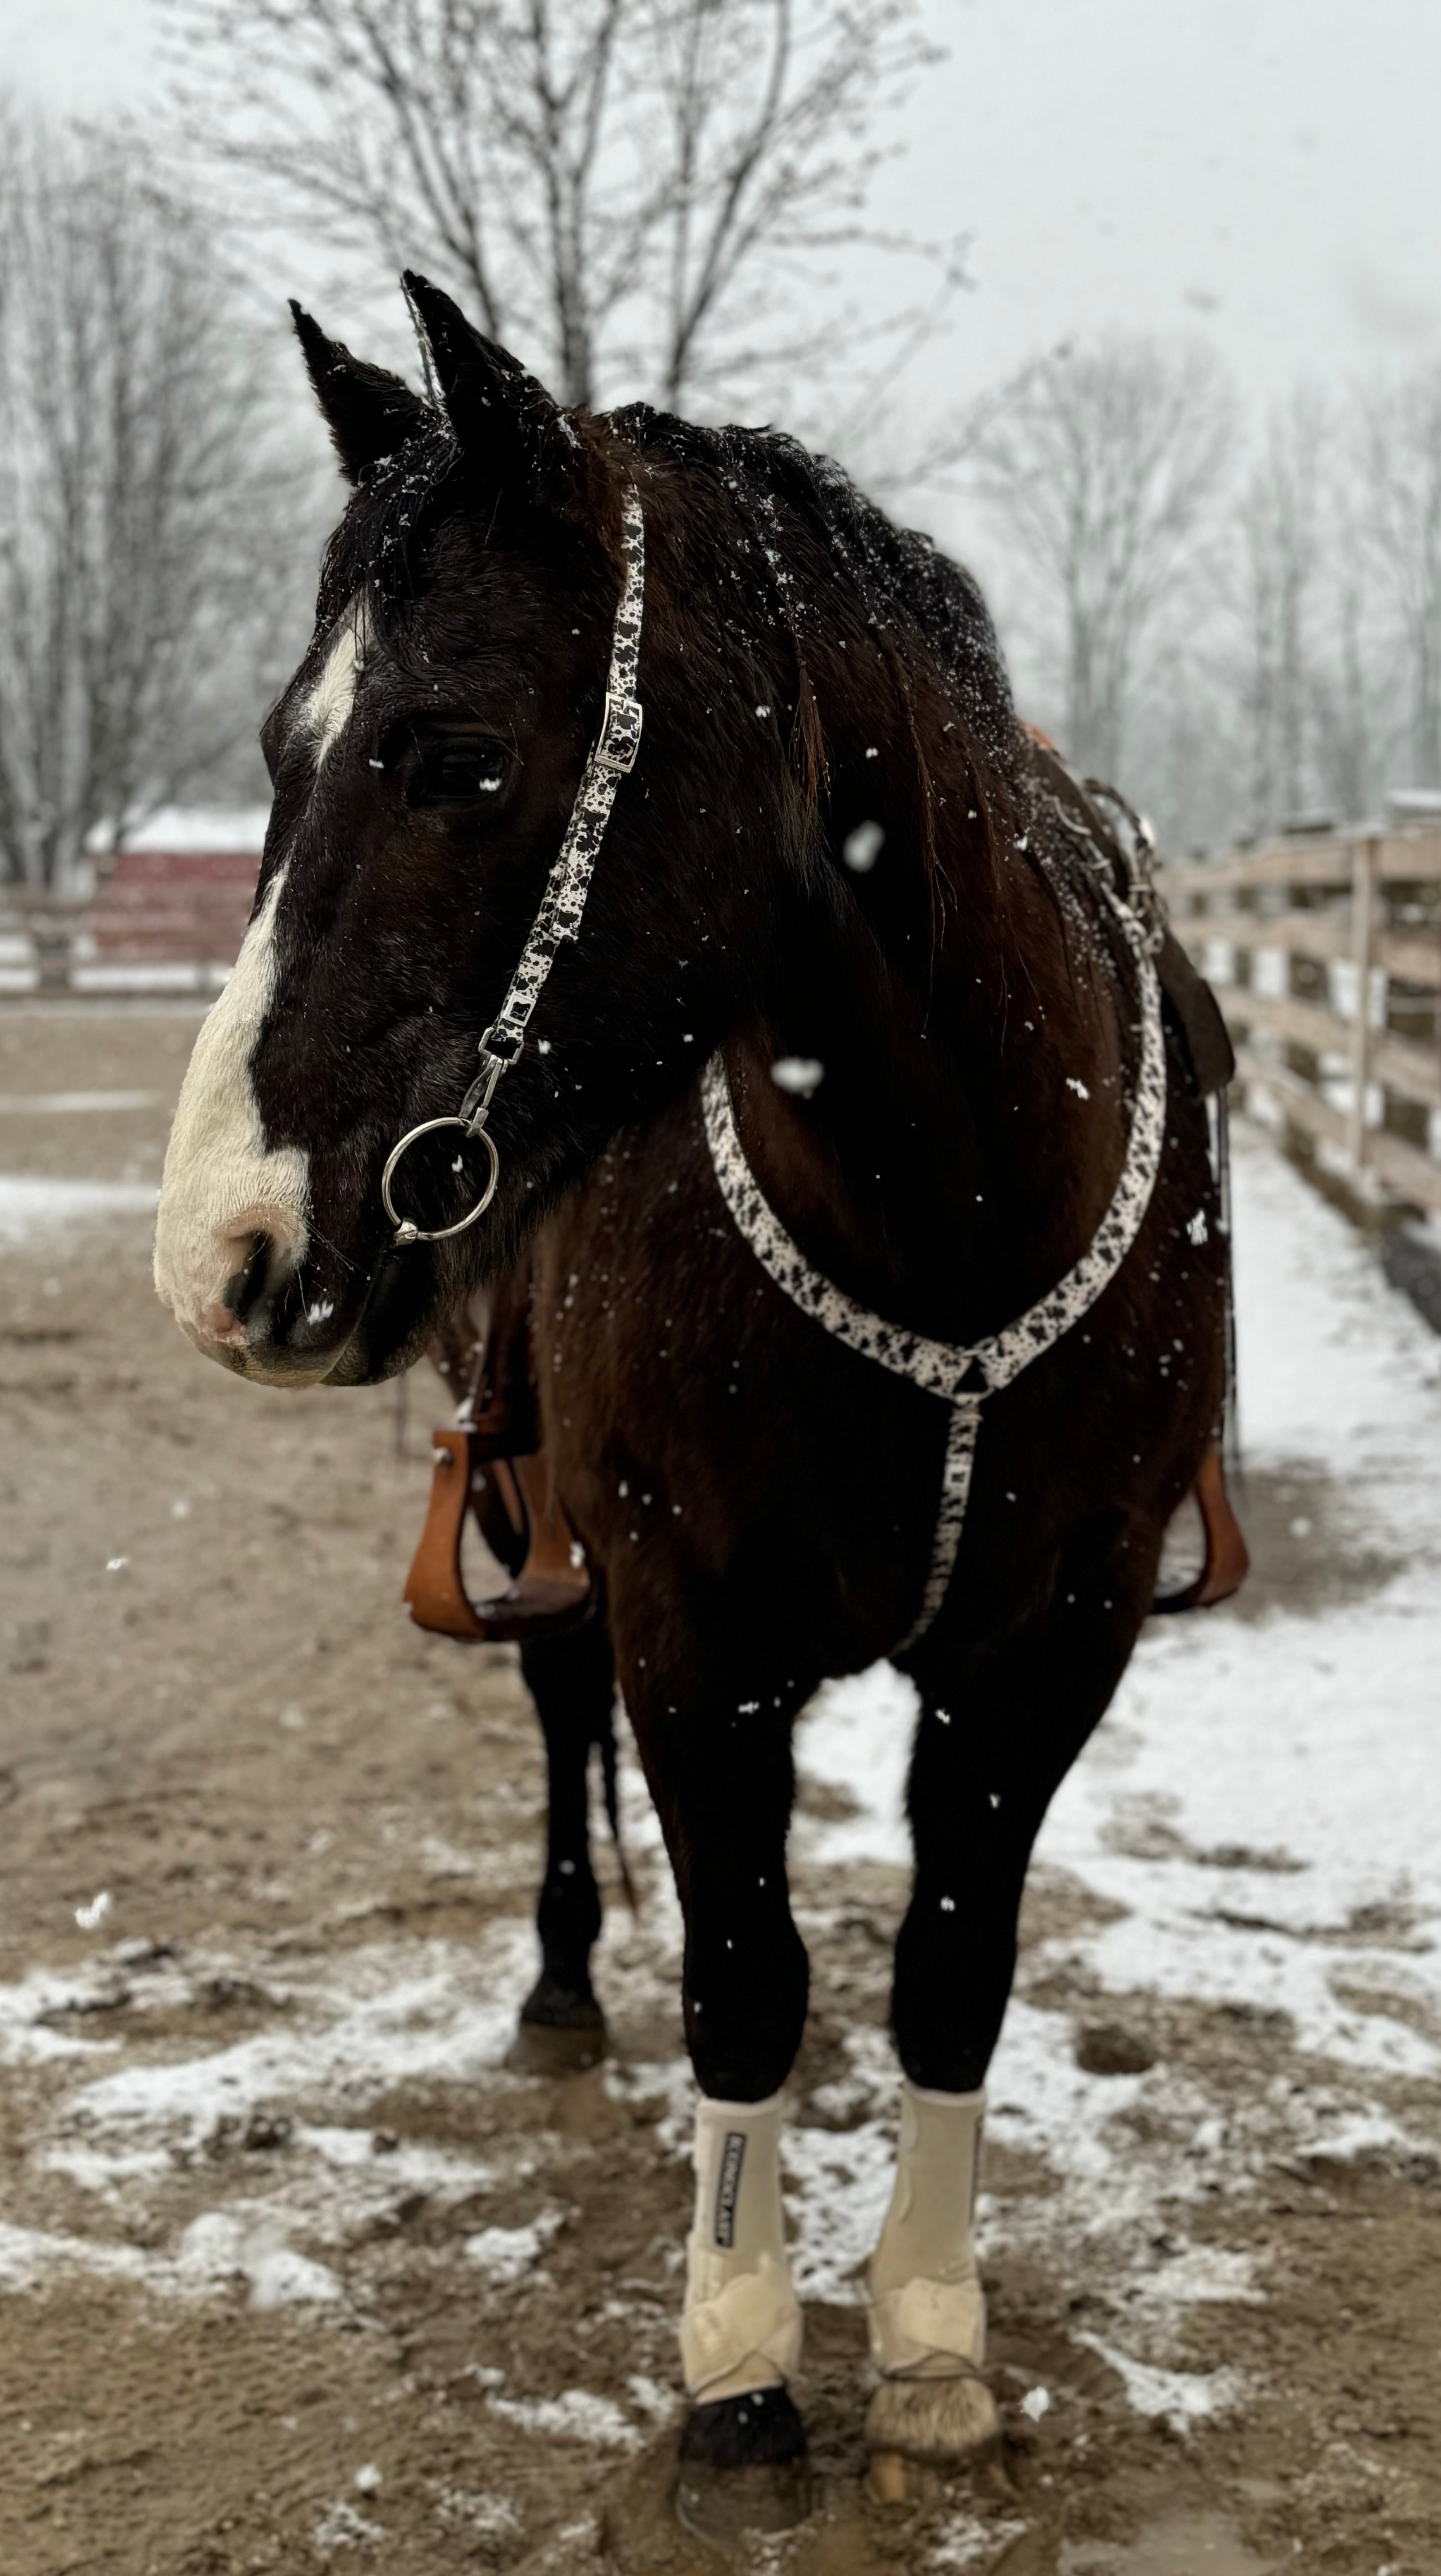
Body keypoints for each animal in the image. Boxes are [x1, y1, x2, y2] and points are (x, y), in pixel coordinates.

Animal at [155, 277, 1227, 2514]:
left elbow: (947, 1968)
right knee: (558, 1720)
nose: (224, 1246)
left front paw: (928, 2334)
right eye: (282, 751)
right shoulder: (687, 1622)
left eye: (457, 755)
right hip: (534, 1504)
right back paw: (566, 1977)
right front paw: (738, 2351)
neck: (943, 1214)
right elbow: (745, 1972)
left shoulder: (1050, 1636)